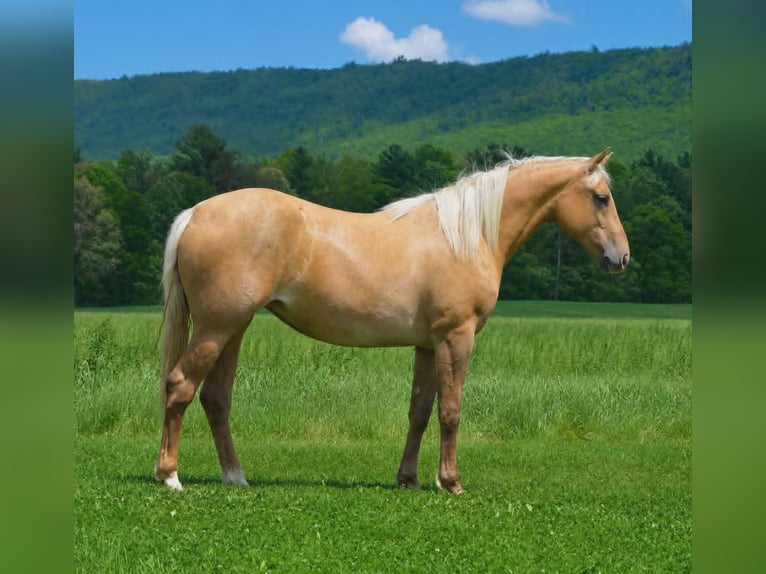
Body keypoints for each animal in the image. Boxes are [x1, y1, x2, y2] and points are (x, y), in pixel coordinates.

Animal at [154, 148, 629, 493]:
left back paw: (235, 476)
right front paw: (450, 483)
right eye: (601, 198)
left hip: (233, 329)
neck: (466, 236)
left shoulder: (428, 345)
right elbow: (451, 410)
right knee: (180, 386)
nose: (620, 258)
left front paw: (408, 479)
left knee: (216, 398)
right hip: (216, 328)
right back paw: (170, 476)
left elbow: (419, 411)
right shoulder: (456, 338)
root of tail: (196, 213)